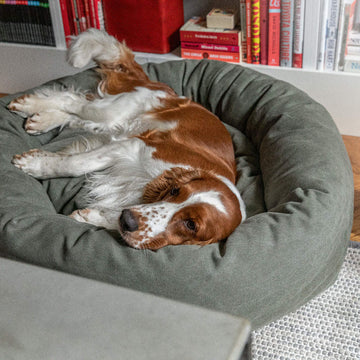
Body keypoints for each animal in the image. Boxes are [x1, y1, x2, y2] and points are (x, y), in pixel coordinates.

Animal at [7, 28, 245, 250]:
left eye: (191, 225)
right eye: (175, 191)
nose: (129, 220)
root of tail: (164, 89)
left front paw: (91, 217)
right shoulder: (133, 146)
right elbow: (74, 164)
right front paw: (35, 164)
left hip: (110, 121)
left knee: (76, 111)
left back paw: (40, 119)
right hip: (111, 111)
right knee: (73, 100)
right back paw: (28, 105)